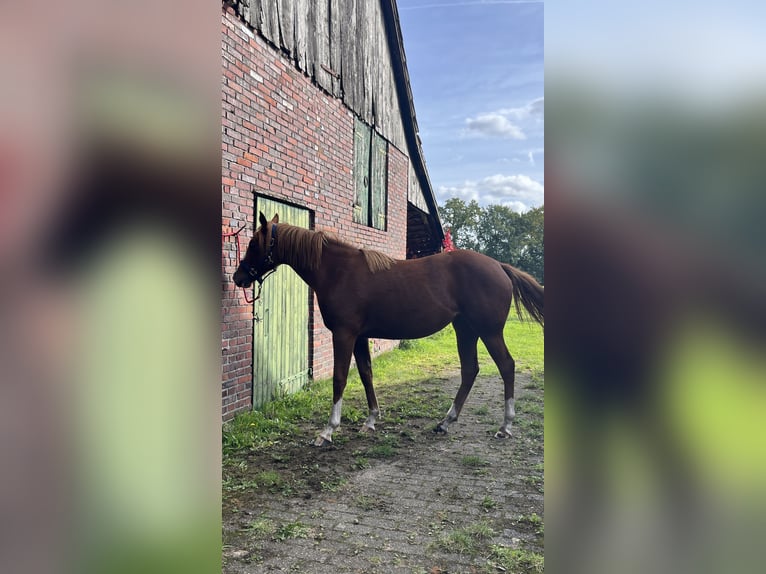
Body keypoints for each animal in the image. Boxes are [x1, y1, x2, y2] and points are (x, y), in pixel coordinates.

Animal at [233, 212, 544, 447]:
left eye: (254, 243)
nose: (238, 277)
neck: (338, 271)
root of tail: (500, 267)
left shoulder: (344, 335)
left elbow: (339, 378)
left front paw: (328, 430)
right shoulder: (359, 337)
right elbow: (366, 374)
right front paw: (371, 420)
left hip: (489, 332)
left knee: (506, 366)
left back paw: (505, 426)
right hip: (465, 330)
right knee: (470, 370)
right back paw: (445, 422)